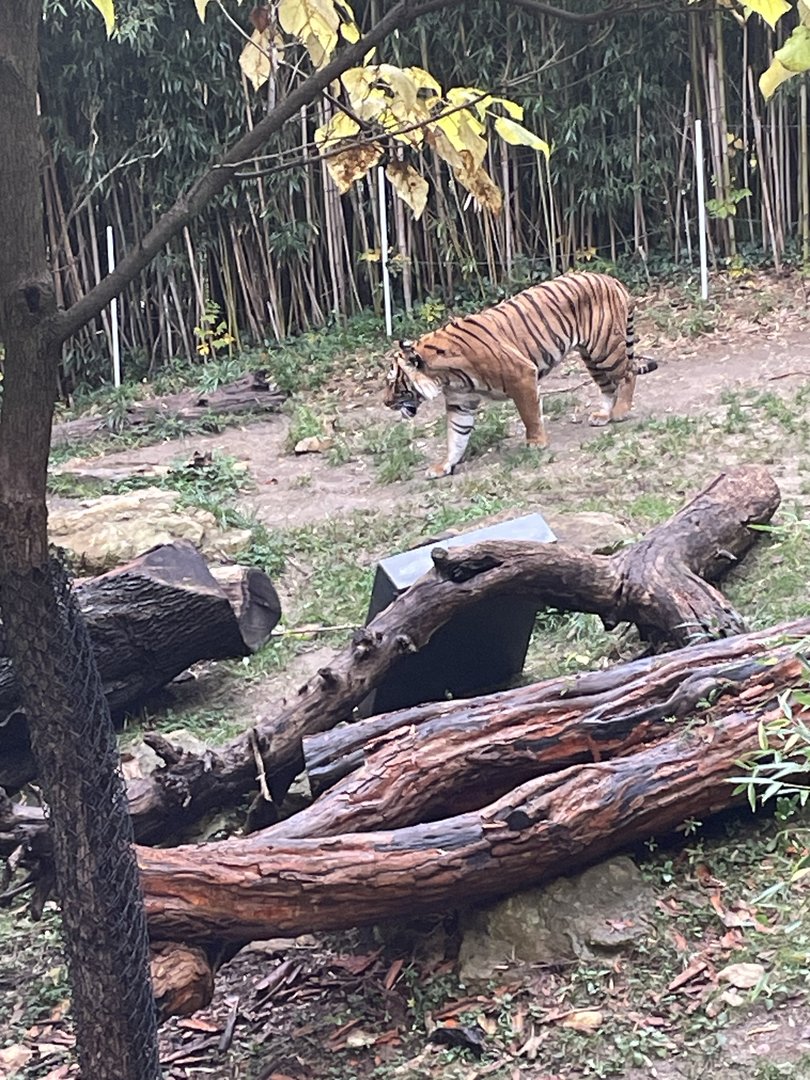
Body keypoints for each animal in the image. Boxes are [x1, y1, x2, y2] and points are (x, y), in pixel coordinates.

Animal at [383, 271, 657, 479]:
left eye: (393, 382)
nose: (385, 403)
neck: (445, 377)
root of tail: (609, 278)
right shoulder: (460, 402)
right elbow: (456, 436)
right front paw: (444, 466)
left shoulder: (521, 375)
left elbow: (529, 414)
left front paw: (536, 443)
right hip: (591, 356)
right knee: (608, 386)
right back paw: (603, 415)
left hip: (605, 349)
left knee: (629, 374)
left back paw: (621, 411)